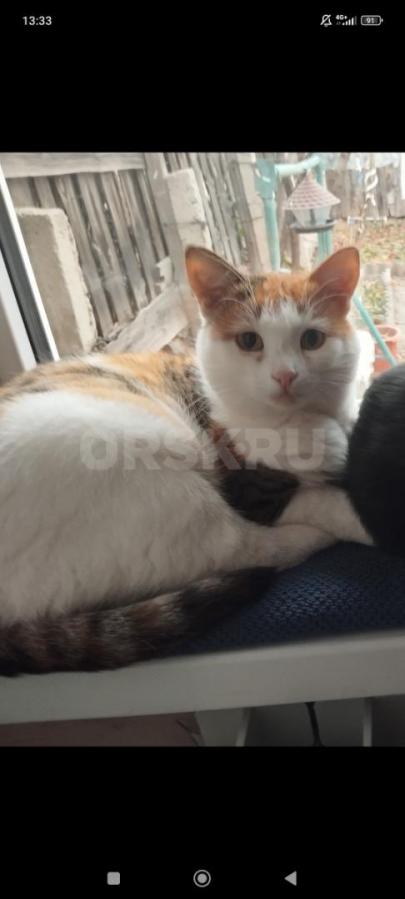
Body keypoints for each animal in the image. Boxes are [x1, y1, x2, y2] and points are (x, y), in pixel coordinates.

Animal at [0, 245, 372, 676]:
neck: (308, 419)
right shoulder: (249, 490)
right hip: (155, 481)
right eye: (249, 341)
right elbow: (318, 499)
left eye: (311, 339)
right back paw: (309, 539)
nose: (285, 376)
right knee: (245, 547)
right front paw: (354, 517)